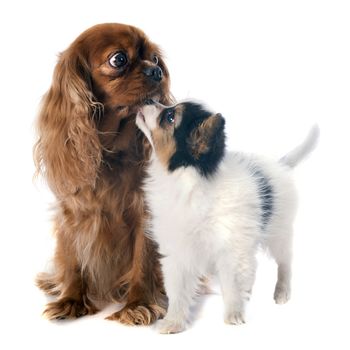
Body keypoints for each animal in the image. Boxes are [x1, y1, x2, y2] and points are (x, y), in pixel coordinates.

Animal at [33, 23, 172, 326]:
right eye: (118, 59)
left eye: (155, 58)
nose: (156, 71)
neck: (111, 155)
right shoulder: (72, 216)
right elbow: (73, 262)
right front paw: (71, 300)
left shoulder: (144, 215)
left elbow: (143, 261)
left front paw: (138, 304)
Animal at [135, 102, 318, 334]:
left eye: (169, 117)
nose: (148, 100)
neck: (189, 181)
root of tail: (280, 166)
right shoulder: (178, 251)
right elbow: (178, 290)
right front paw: (173, 321)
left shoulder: (231, 249)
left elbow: (232, 285)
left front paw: (234, 314)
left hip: (279, 231)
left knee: (285, 261)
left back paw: (282, 292)